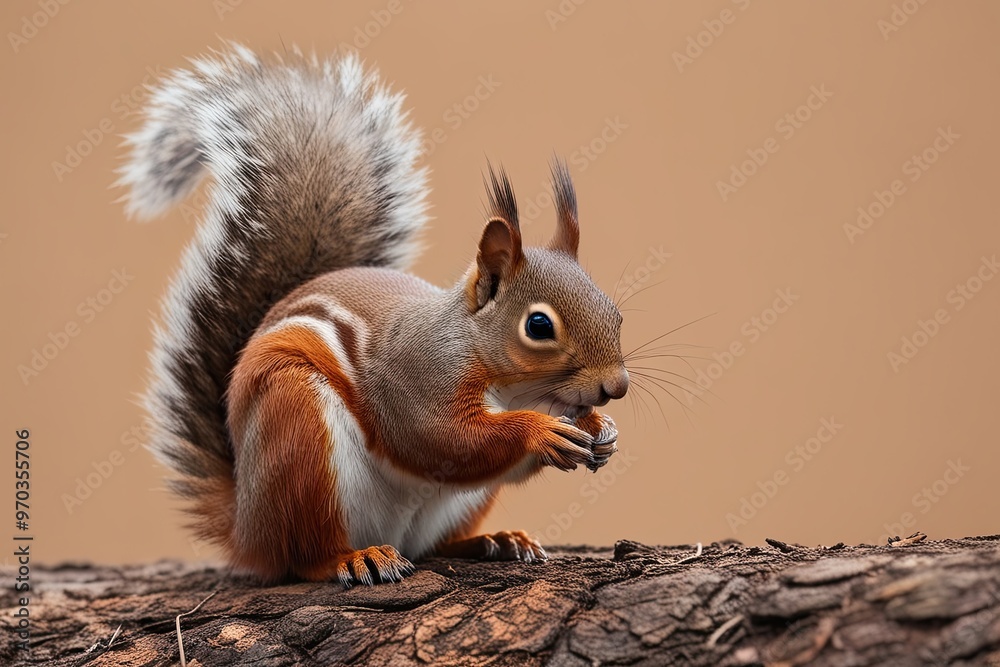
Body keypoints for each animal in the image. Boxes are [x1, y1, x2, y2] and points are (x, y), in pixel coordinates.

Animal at [117, 44, 629, 586]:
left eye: (614, 312)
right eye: (538, 326)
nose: (615, 386)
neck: (512, 384)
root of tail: (248, 528)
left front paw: (602, 429)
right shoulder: (418, 378)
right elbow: (444, 441)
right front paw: (539, 431)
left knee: (435, 544)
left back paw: (494, 541)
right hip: (297, 431)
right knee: (305, 554)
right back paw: (352, 557)